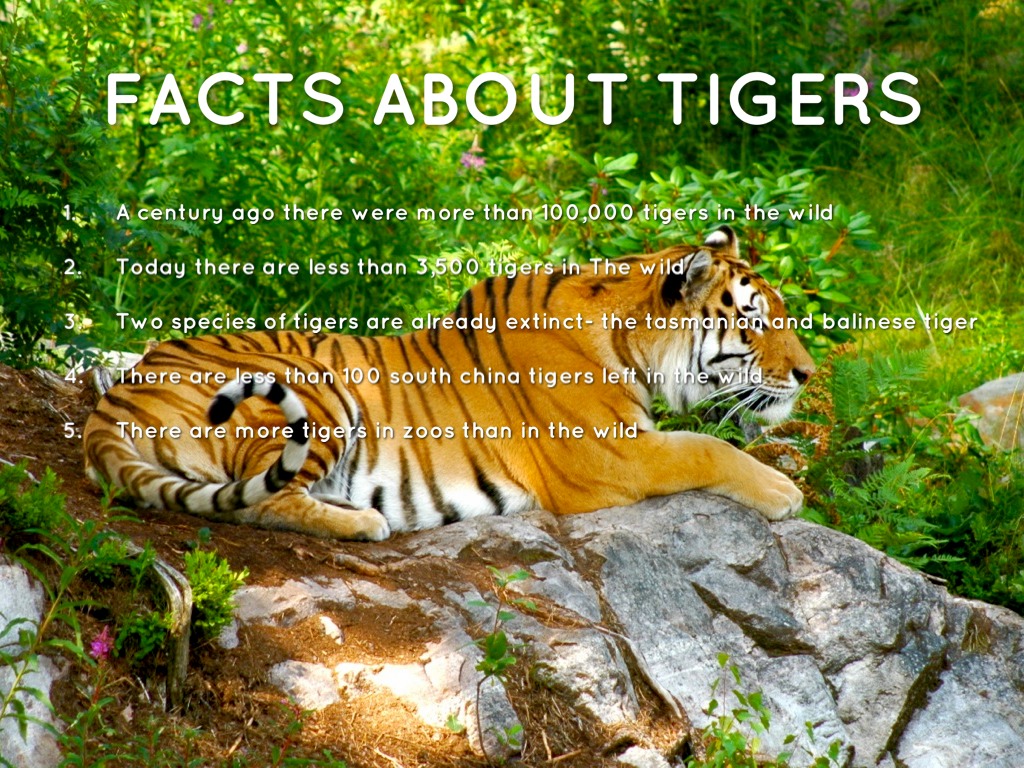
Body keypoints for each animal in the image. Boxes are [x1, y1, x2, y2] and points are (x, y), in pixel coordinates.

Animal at [83, 226, 816, 541]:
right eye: (756, 321)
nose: (807, 374)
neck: (626, 338)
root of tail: (113, 398)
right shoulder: (613, 455)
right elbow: (706, 448)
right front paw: (784, 493)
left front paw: (784, 460)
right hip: (313, 394)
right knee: (258, 502)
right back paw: (365, 522)